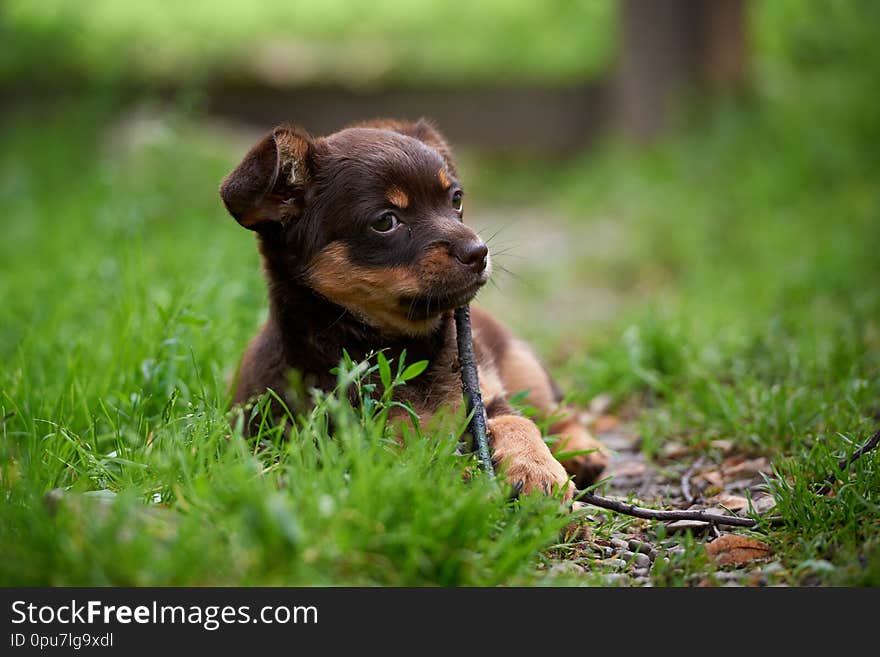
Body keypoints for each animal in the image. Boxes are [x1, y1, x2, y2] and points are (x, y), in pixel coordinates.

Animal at [220, 119, 604, 498]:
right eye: (385, 222)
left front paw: (537, 469)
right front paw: (463, 474)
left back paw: (583, 453)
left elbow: (517, 421)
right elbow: (420, 450)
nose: (479, 252)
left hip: (522, 364)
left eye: (456, 200)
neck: (407, 344)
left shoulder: (485, 398)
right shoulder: (362, 434)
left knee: (557, 410)